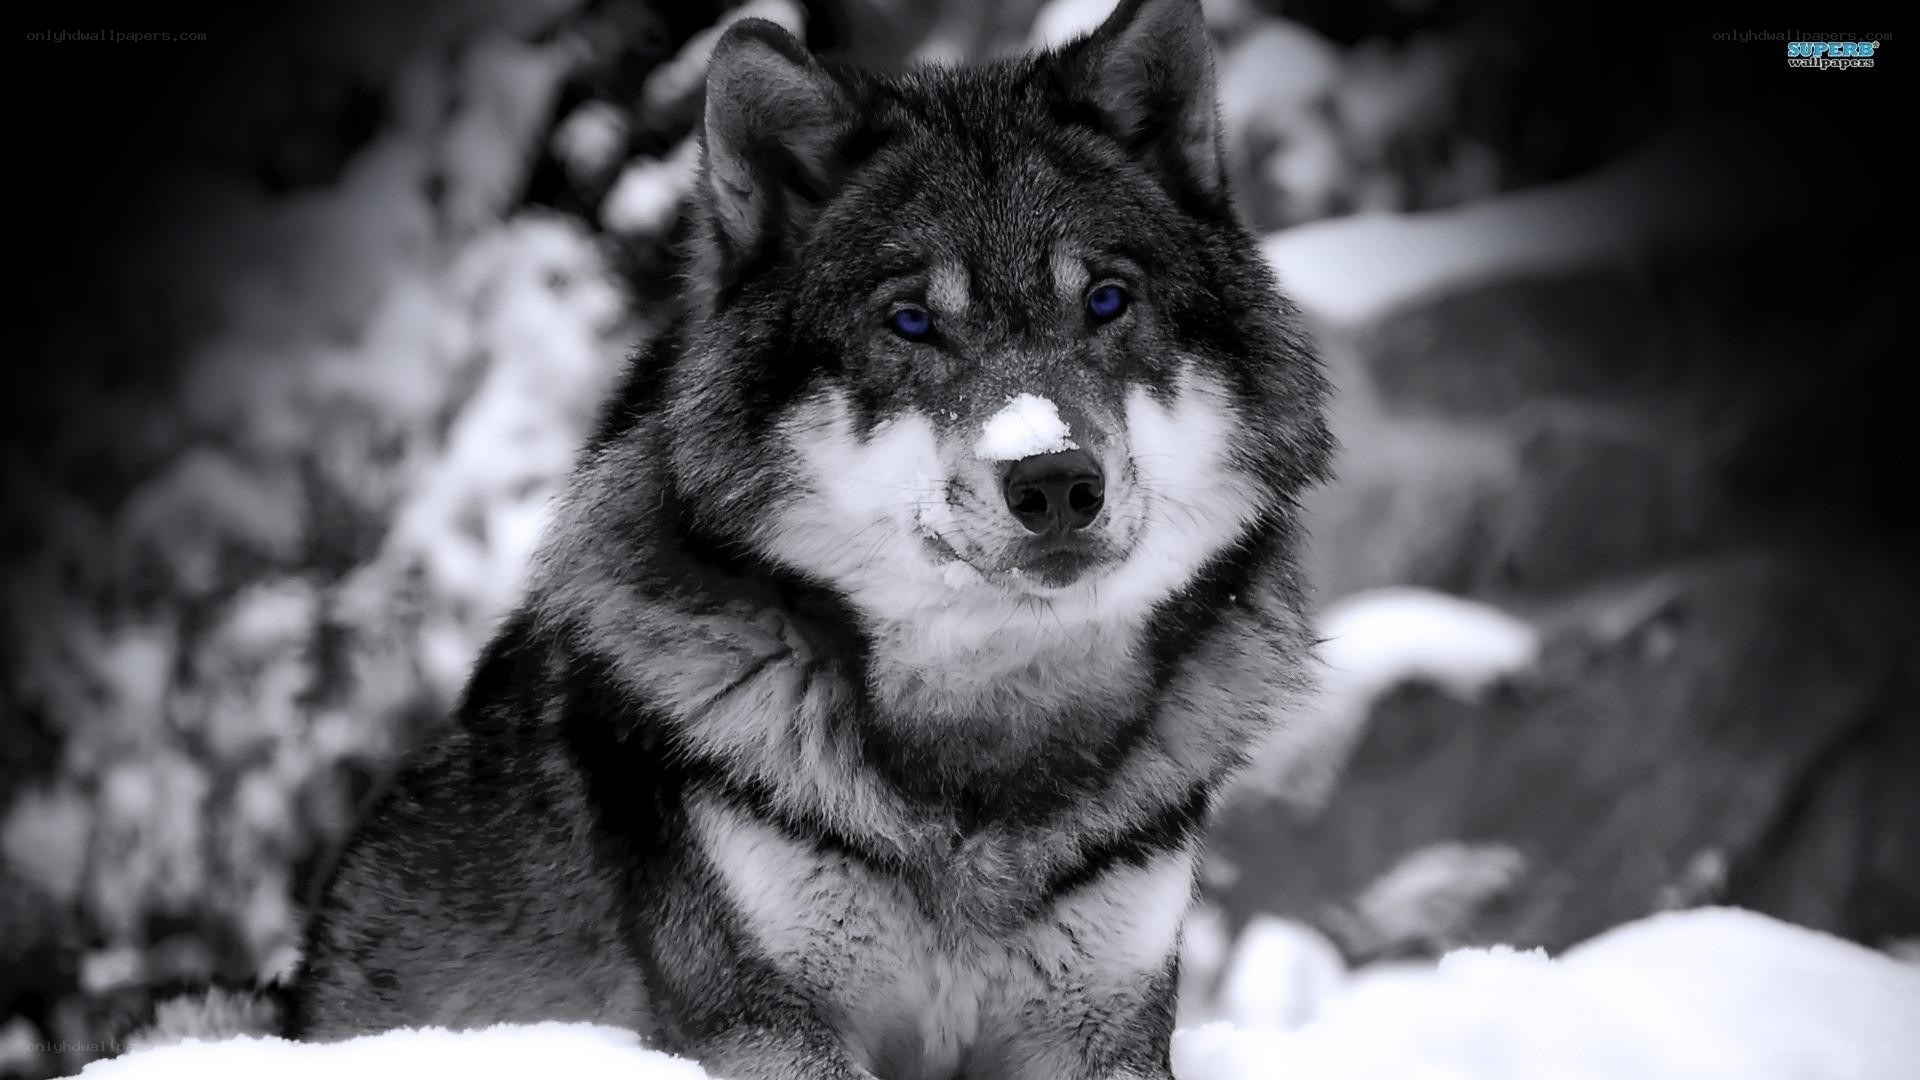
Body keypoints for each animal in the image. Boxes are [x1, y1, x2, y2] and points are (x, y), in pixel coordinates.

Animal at [144, 0, 1333, 1076]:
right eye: (911, 322)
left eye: (1107, 301)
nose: (1053, 480)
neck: (980, 756)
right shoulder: (766, 1025)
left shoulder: (1105, 1030)